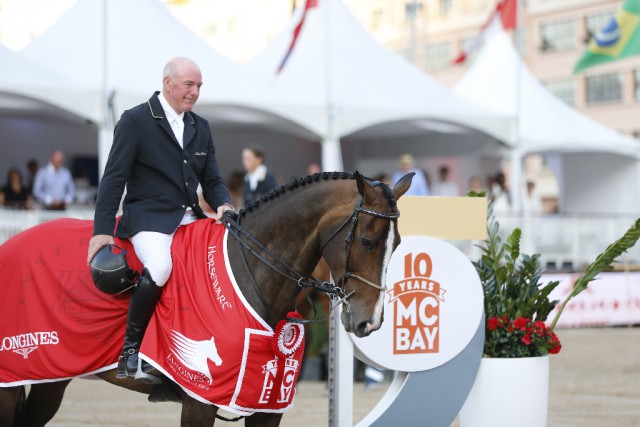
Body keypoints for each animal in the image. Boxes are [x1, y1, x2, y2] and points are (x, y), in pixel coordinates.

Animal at [0, 172, 416, 426]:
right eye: (367, 241)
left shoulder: (268, 405)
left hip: (51, 378)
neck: (253, 271)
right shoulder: (198, 400)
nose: (369, 321)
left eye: (396, 244)